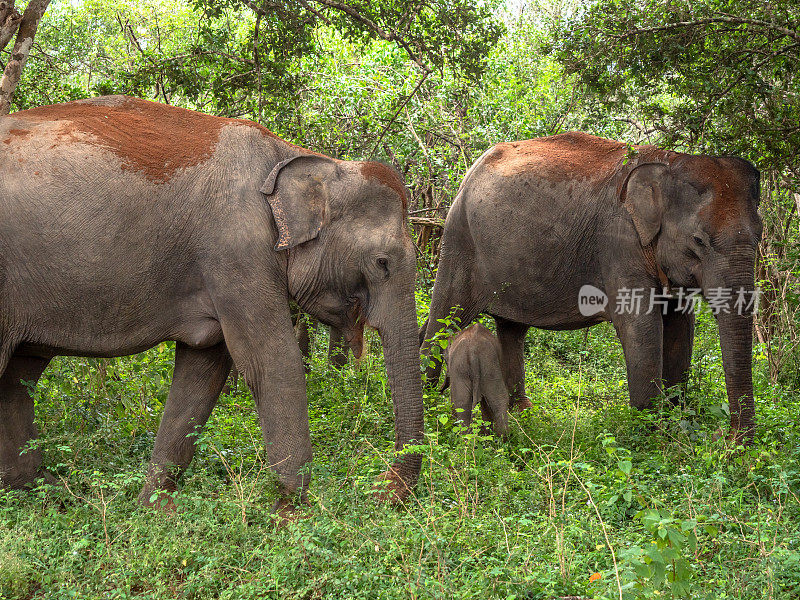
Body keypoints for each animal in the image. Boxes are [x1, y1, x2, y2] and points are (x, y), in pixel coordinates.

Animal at [0, 96, 424, 512]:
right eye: (382, 263)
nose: (380, 491)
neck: (297, 156)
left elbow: (203, 370)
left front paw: (154, 511)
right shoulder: (236, 249)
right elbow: (271, 359)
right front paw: (295, 513)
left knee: (19, 376)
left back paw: (51, 497)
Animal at [418, 131, 764, 440]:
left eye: (760, 234)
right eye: (699, 240)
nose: (730, 440)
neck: (671, 160)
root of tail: (471, 170)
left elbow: (681, 327)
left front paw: (674, 427)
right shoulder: (618, 242)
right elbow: (641, 328)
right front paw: (651, 436)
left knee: (511, 329)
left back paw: (523, 413)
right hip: (460, 241)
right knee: (444, 317)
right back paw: (430, 404)